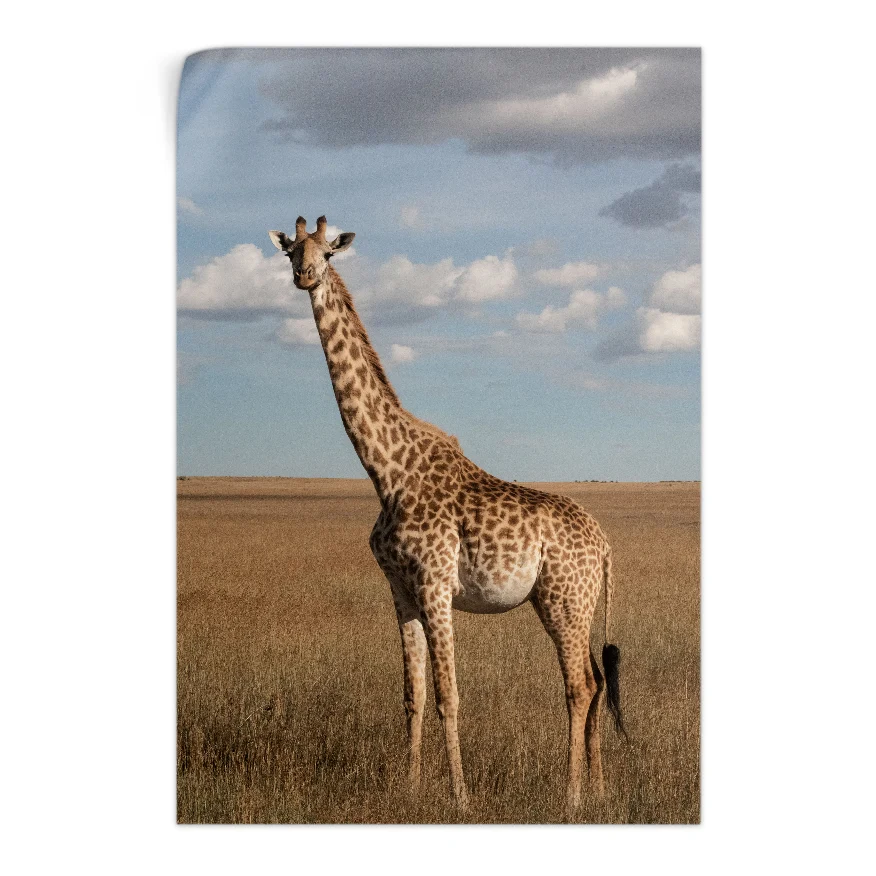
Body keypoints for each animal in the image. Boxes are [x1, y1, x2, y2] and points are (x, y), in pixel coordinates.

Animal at [269, 217, 626, 813]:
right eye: (291, 251)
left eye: (329, 251)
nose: (306, 276)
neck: (386, 471)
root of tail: (604, 547)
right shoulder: (401, 588)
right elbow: (412, 694)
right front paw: (409, 787)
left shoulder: (436, 584)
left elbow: (448, 696)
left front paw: (461, 797)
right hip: (568, 602)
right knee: (596, 681)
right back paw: (599, 790)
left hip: (565, 599)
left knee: (579, 686)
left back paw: (570, 795)